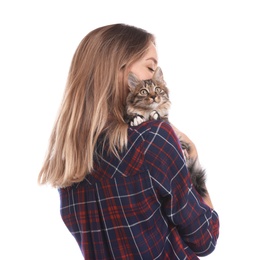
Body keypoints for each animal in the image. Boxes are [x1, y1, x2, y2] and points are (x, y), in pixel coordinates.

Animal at [125, 67, 207, 197]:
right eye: (144, 91)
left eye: (157, 89)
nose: (154, 96)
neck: (147, 112)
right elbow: (130, 116)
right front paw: (135, 118)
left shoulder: (167, 123)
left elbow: (159, 116)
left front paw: (155, 114)